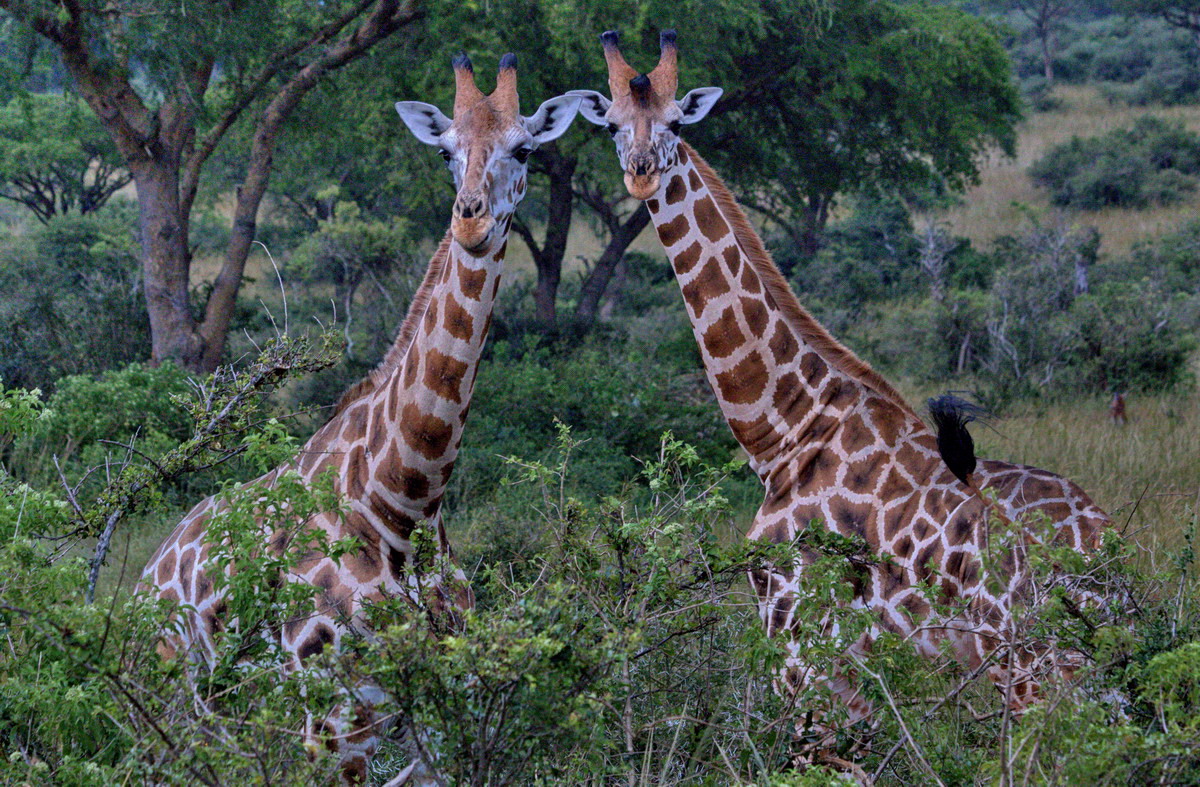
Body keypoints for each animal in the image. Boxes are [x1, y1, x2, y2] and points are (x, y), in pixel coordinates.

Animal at [140, 53, 580, 782]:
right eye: (445, 150)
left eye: (524, 149)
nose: (470, 222)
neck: (403, 500)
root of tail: (145, 576)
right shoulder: (335, 719)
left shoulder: (445, 707)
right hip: (178, 699)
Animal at [571, 32, 1113, 763]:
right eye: (611, 126)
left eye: (678, 121)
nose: (640, 172)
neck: (786, 428)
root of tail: (1103, 553)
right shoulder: (846, 662)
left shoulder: (799, 641)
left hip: (1031, 666)